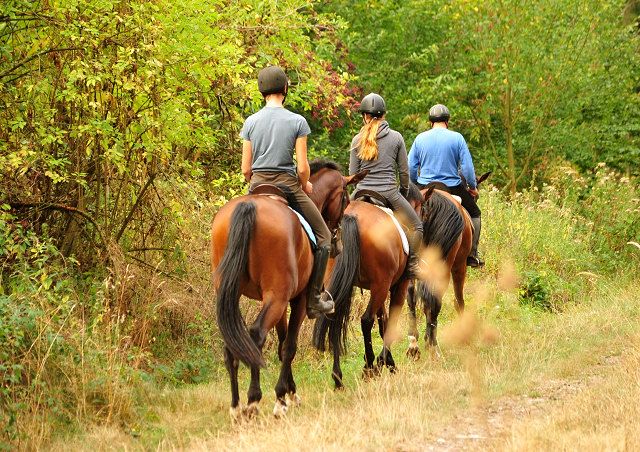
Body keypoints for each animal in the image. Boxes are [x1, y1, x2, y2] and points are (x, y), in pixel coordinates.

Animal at [211, 160, 364, 420]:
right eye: (345, 200)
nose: (338, 245)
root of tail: (250, 207)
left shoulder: (280, 303)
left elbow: (283, 346)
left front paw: (289, 393)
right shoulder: (298, 300)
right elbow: (290, 346)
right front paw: (282, 398)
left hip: (233, 292)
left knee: (233, 339)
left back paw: (236, 406)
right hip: (278, 297)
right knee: (256, 335)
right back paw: (253, 400)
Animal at [312, 184, 464, 388]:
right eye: (424, 210)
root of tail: (352, 216)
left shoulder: (379, 289)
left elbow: (383, 322)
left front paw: (387, 361)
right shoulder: (397, 286)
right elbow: (389, 321)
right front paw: (385, 363)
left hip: (341, 282)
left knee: (334, 318)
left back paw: (338, 378)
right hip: (382, 285)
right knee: (366, 320)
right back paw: (368, 367)